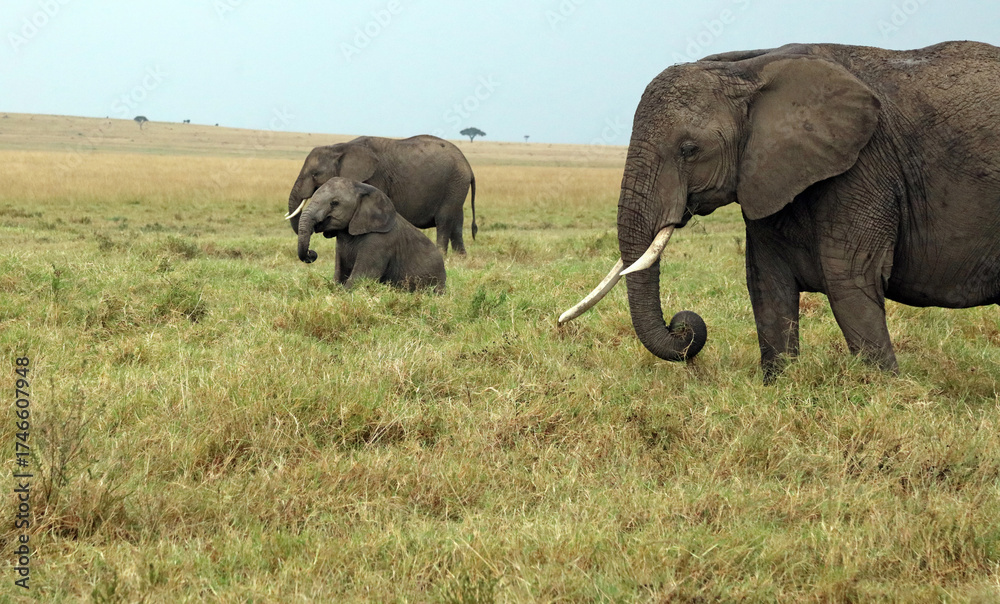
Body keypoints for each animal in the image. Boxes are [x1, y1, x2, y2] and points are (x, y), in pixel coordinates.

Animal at [285, 135, 476, 255]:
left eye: (315, 174)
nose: (311, 253)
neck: (340, 147)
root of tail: (468, 165)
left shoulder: (374, 179)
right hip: (457, 186)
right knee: (457, 221)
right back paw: (460, 257)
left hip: (454, 182)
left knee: (444, 220)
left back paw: (443, 255)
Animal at [296, 177, 446, 294]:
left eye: (334, 203)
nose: (311, 253)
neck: (362, 189)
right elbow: (339, 273)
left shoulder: (380, 242)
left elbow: (362, 276)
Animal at [560, 41, 1000, 382]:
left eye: (689, 150)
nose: (682, 326)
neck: (749, 71)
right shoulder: (766, 171)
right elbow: (766, 282)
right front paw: (781, 386)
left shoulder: (864, 165)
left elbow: (849, 278)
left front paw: (885, 392)